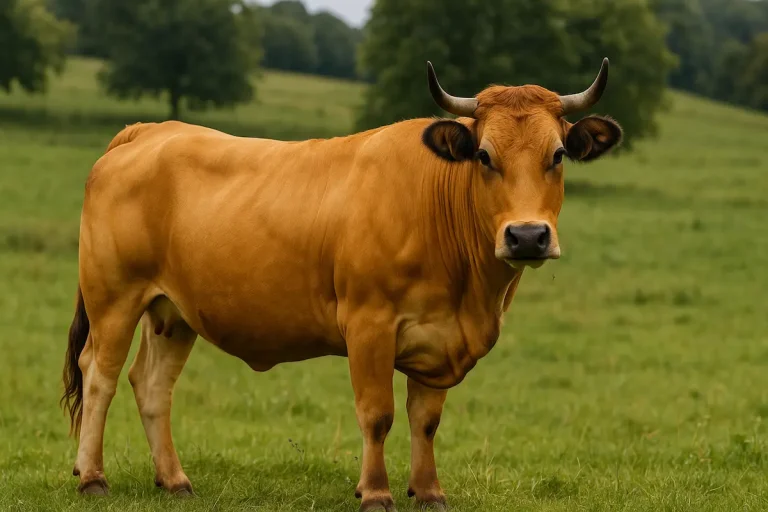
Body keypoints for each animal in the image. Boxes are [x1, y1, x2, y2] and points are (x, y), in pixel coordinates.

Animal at [61, 58, 622, 511]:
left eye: (557, 155)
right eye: (484, 156)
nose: (527, 236)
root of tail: (149, 131)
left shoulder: (437, 339)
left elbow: (426, 420)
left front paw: (429, 491)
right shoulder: (369, 325)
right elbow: (377, 414)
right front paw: (375, 492)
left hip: (173, 313)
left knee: (152, 384)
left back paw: (175, 480)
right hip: (113, 298)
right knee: (100, 376)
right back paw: (92, 477)